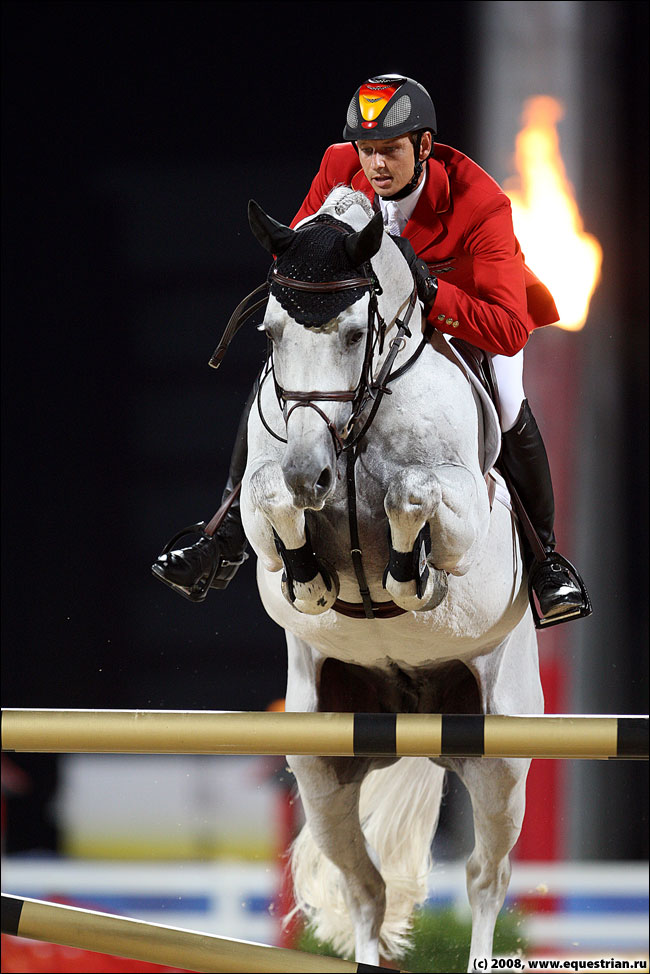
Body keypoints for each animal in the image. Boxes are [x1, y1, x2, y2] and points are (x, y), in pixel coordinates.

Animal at [238, 187, 540, 972]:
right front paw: (311, 580)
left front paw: (410, 579)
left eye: (352, 334)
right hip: (322, 765)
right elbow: (269, 503)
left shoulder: (465, 511)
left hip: (500, 760)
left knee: (485, 877)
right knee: (366, 886)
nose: (310, 474)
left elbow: (413, 493)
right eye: (270, 331)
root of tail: (413, 715)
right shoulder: (261, 500)